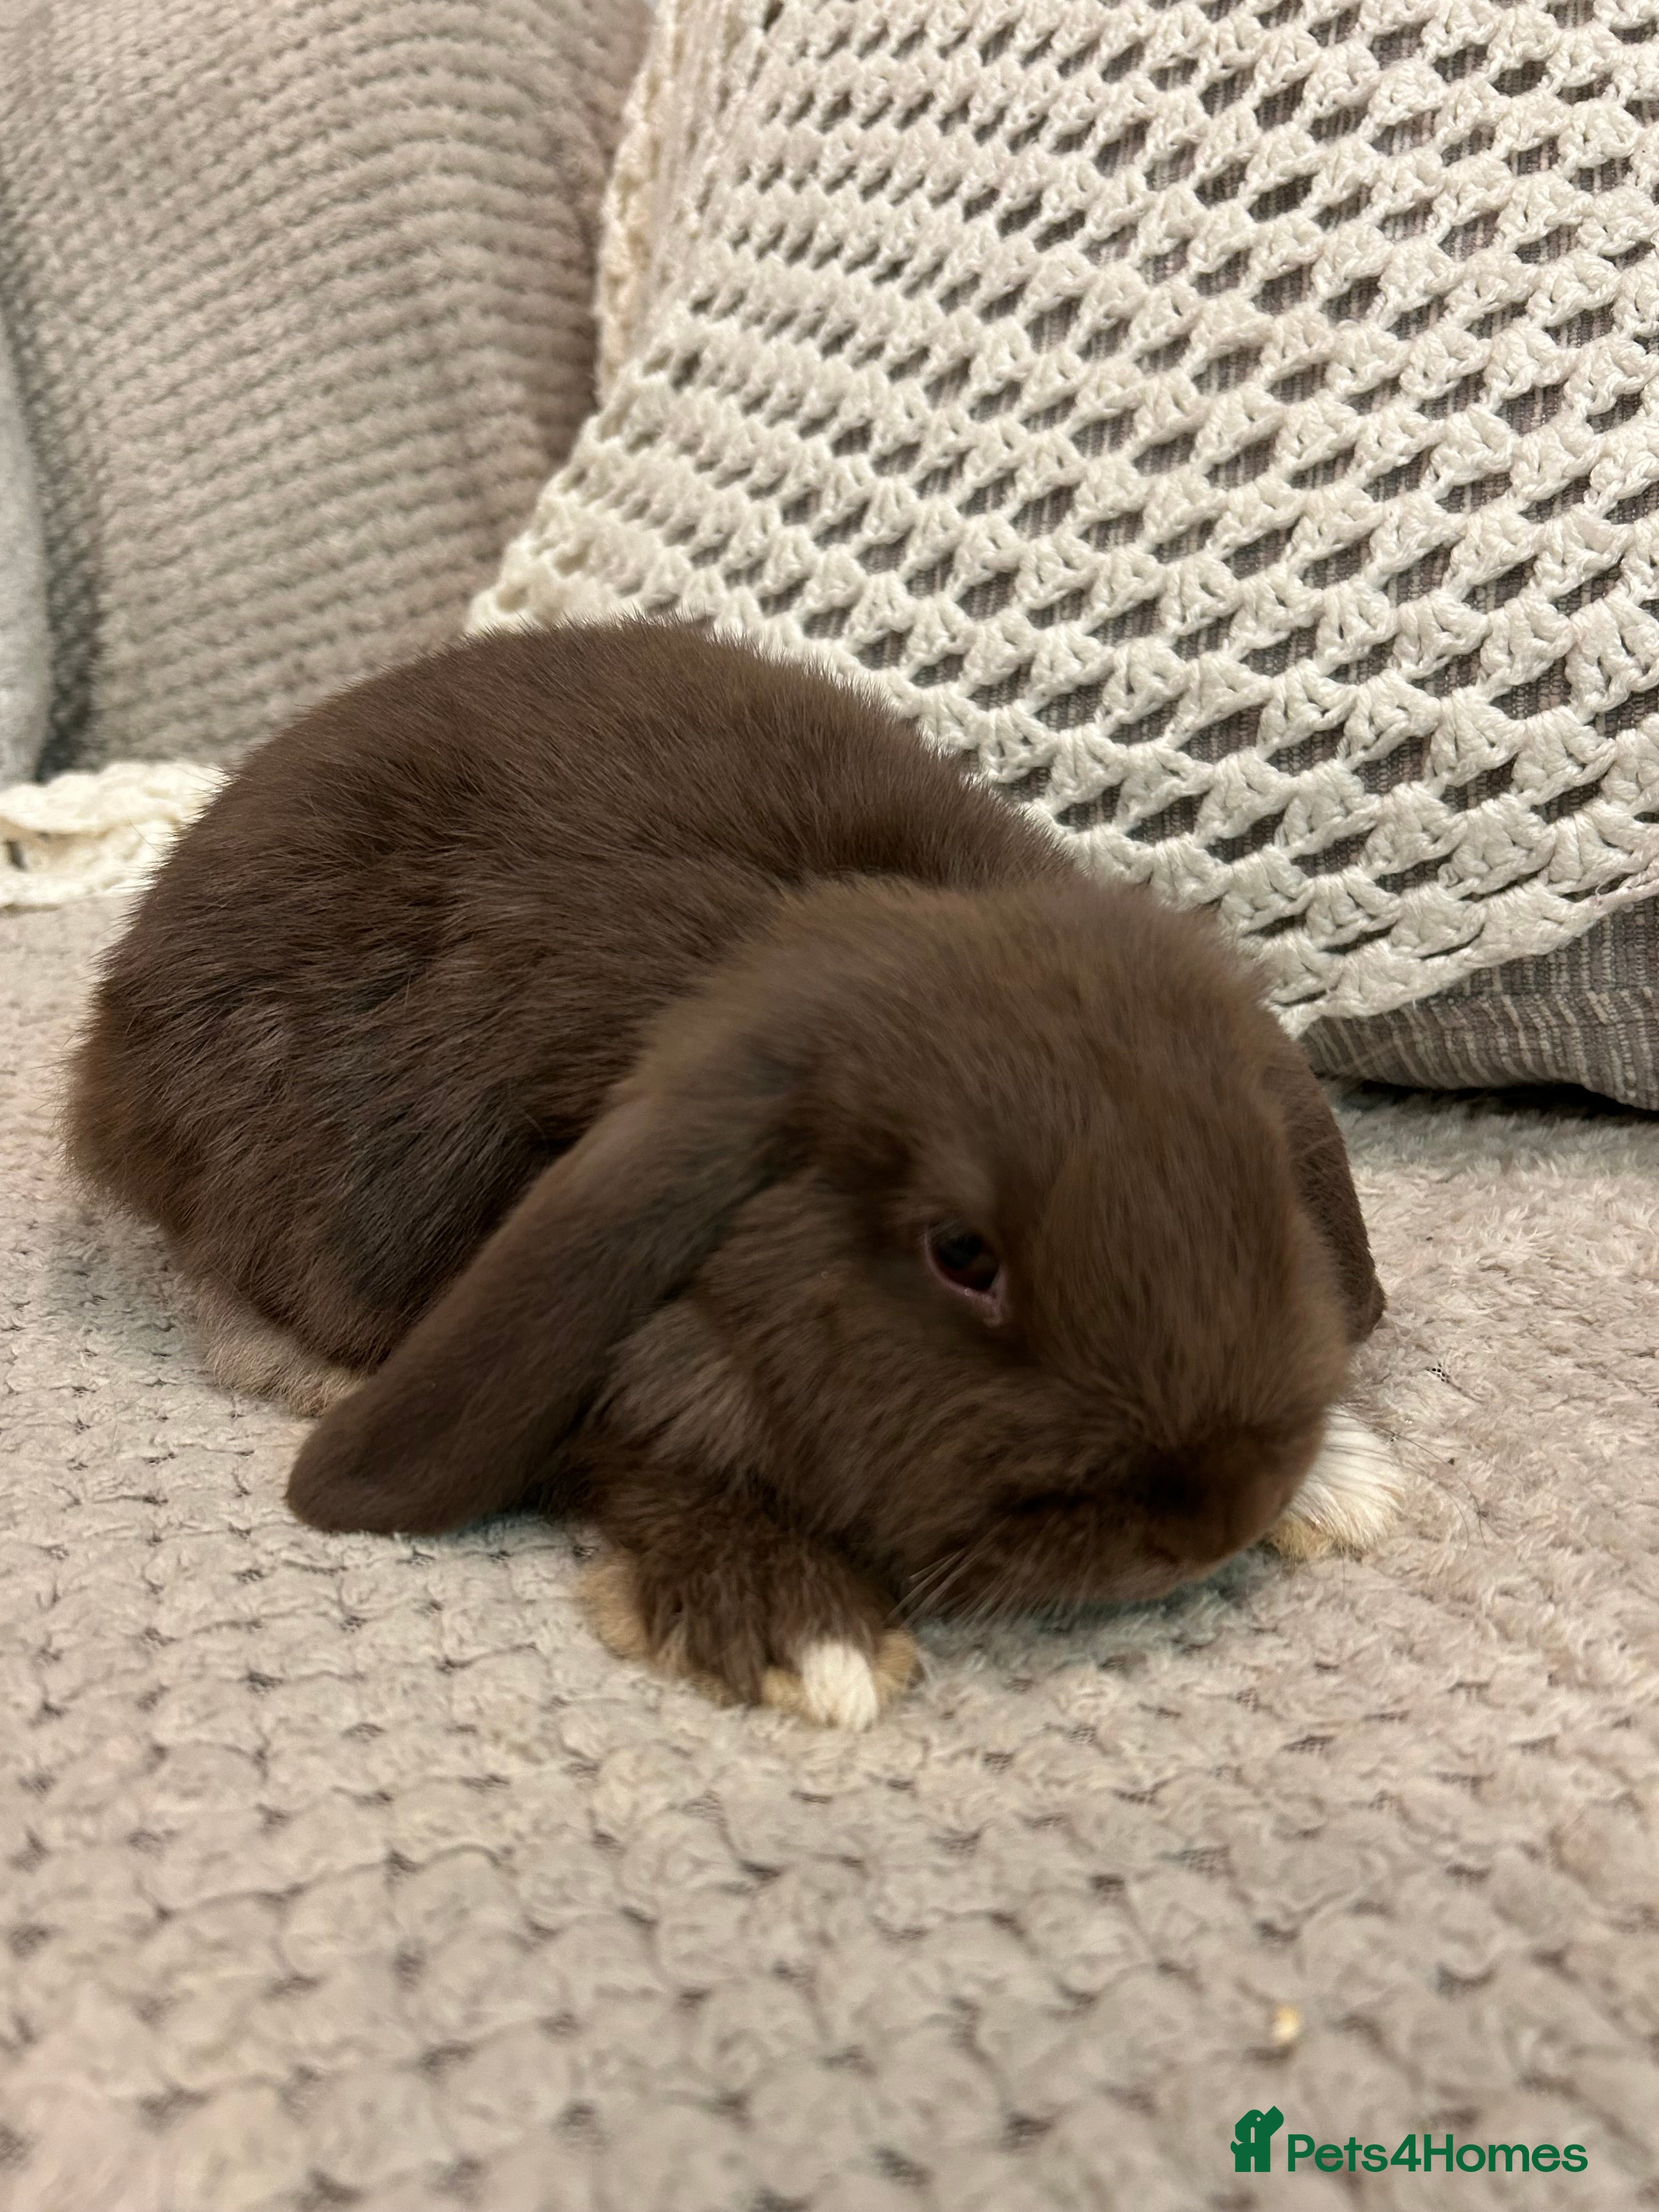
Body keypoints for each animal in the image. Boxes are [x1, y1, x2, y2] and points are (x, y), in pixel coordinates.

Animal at [66, 618, 1400, 1728]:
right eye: (961, 1257)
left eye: (1255, 1187)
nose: (1217, 1514)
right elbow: (630, 1453)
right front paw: (805, 1634)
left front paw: (1339, 1481)